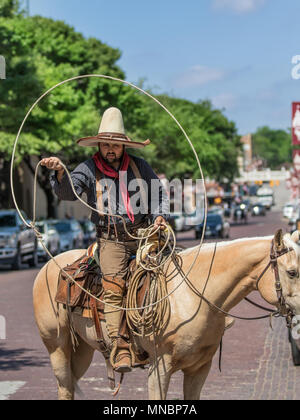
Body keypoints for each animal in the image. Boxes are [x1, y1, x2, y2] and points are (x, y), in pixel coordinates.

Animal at [32, 230, 300, 400]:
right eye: (293, 272)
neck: (194, 294)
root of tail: (49, 265)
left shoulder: (200, 368)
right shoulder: (159, 367)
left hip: (82, 351)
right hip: (57, 347)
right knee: (65, 387)